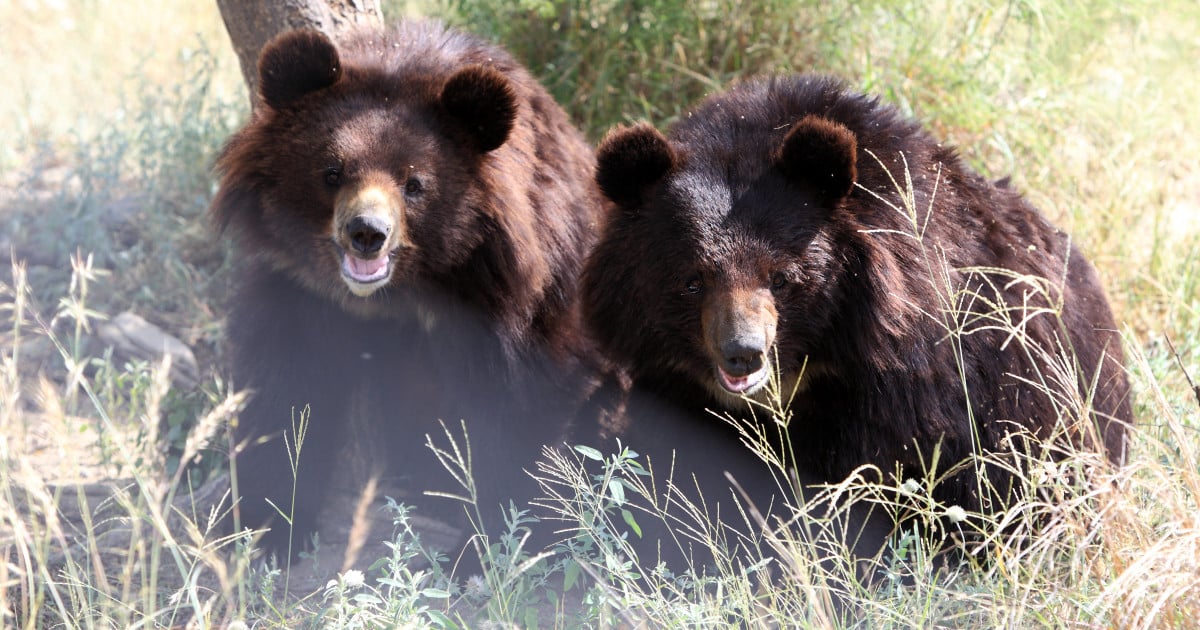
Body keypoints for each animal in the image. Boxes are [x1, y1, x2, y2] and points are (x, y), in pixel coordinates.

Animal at [208, 19, 609, 556]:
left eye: (414, 184)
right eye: (331, 172)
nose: (366, 233)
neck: (405, 290)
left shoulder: (515, 292)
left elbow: (521, 402)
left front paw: (485, 546)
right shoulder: (298, 286)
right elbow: (287, 389)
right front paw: (270, 525)